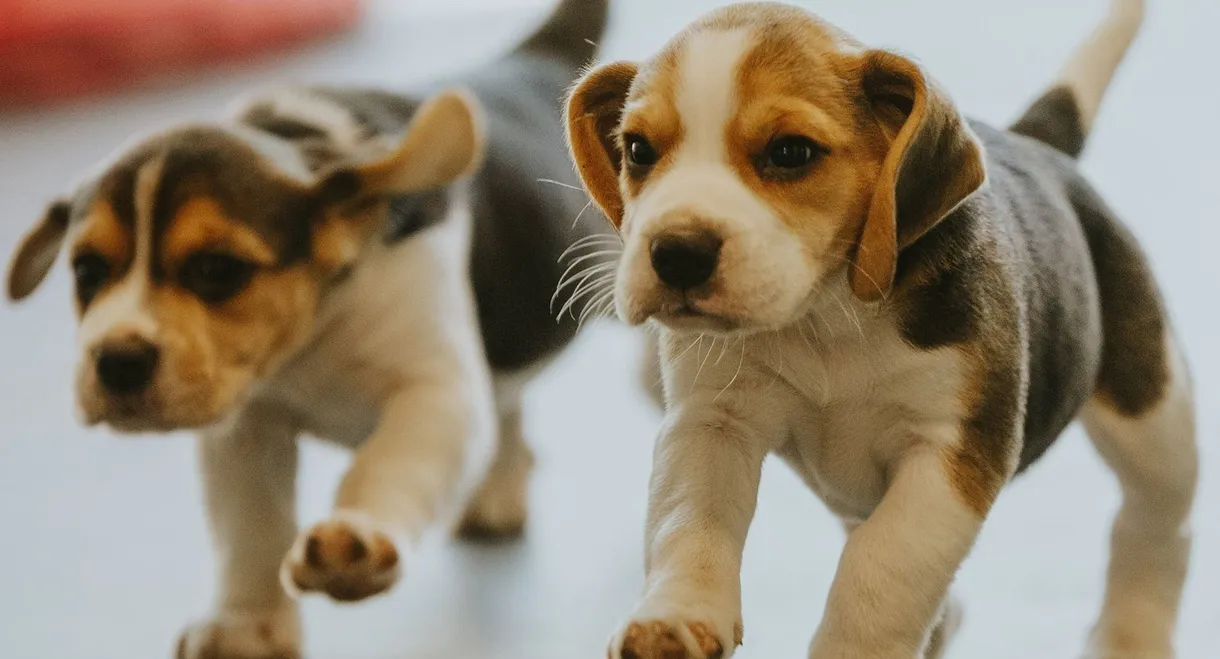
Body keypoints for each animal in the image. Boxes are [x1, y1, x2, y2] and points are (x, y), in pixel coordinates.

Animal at [1, 1, 610, 659]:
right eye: (88, 271)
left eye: (216, 269)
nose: (116, 361)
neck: (313, 333)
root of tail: (542, 57)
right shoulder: (246, 427)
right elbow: (252, 527)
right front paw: (246, 622)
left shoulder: (434, 392)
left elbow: (388, 465)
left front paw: (356, 539)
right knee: (509, 400)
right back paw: (499, 489)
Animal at [566, 1, 1195, 659]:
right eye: (638, 149)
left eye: (791, 152)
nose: (677, 252)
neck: (825, 315)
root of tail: (1035, 146)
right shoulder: (712, 421)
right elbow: (689, 521)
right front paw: (675, 616)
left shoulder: (949, 451)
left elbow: (881, 567)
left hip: (1153, 418)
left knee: (1155, 527)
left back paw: (1134, 633)